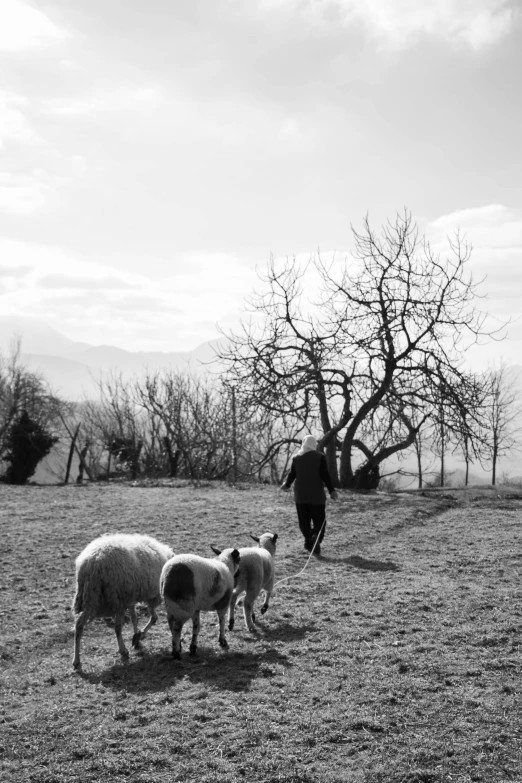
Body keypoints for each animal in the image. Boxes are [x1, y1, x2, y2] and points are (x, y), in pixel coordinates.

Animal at [71, 528, 173, 672]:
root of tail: (92, 561)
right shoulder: (152, 595)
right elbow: (154, 618)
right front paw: (140, 635)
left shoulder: (131, 597)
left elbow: (135, 618)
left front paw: (136, 636)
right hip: (113, 598)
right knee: (117, 627)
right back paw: (123, 651)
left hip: (90, 597)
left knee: (79, 626)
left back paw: (76, 661)